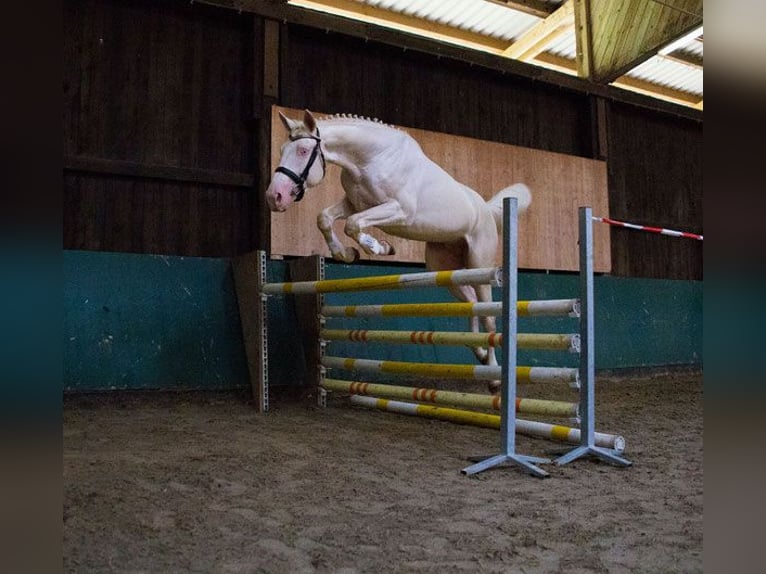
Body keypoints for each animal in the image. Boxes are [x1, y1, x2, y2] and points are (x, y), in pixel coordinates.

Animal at [265, 109, 531, 393]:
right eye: (281, 150)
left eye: (303, 150)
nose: (274, 197)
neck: (373, 157)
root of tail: (485, 209)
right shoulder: (354, 204)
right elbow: (325, 218)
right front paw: (346, 254)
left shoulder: (398, 211)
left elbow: (353, 224)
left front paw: (379, 247)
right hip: (445, 269)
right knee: (471, 302)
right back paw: (479, 354)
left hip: (479, 263)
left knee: (488, 315)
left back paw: (493, 378)